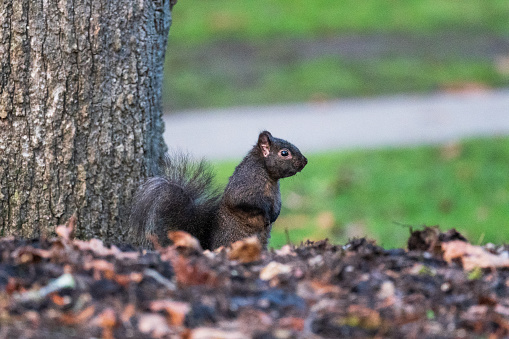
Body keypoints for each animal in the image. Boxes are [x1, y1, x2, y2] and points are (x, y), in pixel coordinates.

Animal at [129, 131, 308, 251]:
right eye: (284, 153)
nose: (305, 161)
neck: (268, 176)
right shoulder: (243, 187)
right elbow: (246, 202)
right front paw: (266, 215)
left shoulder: (275, 195)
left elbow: (277, 205)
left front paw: (274, 216)